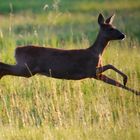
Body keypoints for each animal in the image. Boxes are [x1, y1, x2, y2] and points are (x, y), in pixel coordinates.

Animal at [0, 13, 139, 95]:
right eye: (110, 28)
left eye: (114, 26)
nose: (123, 35)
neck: (96, 52)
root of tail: (16, 50)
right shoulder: (91, 71)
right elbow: (111, 67)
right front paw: (126, 80)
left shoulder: (96, 74)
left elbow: (116, 81)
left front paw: (133, 89)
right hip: (26, 68)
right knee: (4, 67)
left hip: (26, 68)